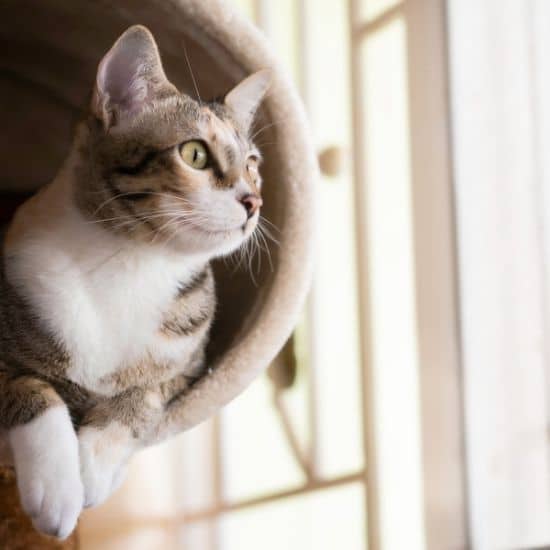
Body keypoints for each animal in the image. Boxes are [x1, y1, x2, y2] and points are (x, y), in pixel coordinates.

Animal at [0, 24, 270, 540]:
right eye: (194, 153)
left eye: (252, 164)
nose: (254, 201)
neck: (130, 261)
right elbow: (30, 387)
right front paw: (56, 489)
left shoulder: (193, 369)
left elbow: (143, 394)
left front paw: (94, 466)